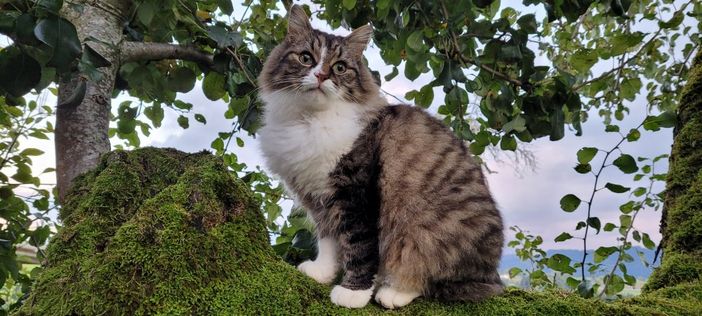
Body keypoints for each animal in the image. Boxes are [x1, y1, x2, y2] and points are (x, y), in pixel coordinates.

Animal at [258, 3, 506, 310]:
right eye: (306, 58)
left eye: (339, 67)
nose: (321, 76)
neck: (308, 122)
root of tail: (493, 273)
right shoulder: (320, 199)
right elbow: (328, 241)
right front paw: (322, 272)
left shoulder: (356, 194)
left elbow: (359, 247)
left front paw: (353, 293)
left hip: (426, 234)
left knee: (434, 278)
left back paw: (394, 292)